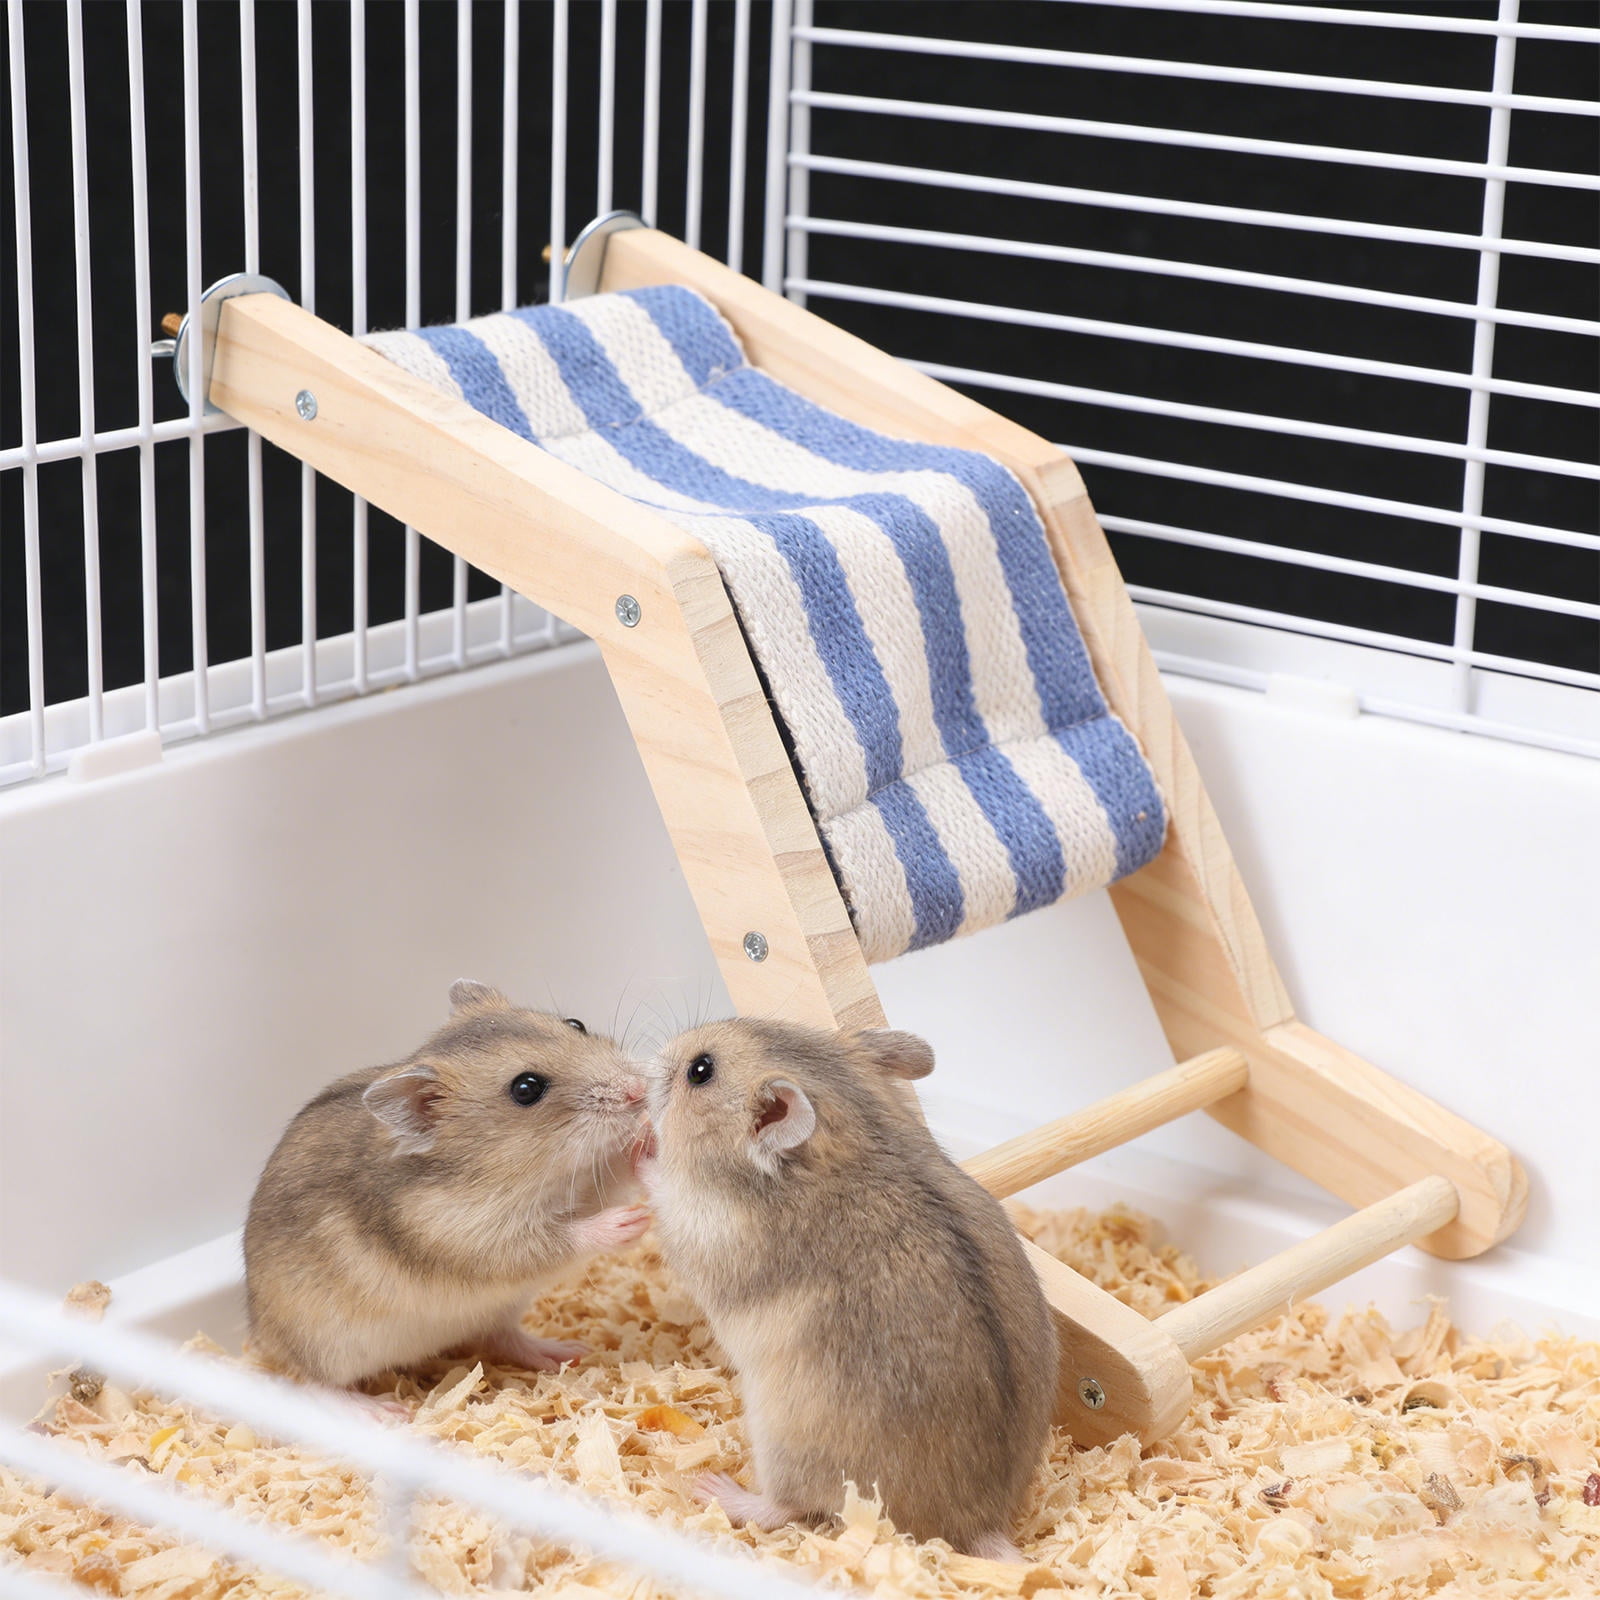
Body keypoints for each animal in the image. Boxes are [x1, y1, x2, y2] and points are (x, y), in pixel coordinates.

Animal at [244, 980, 651, 1396]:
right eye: (526, 1089)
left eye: (575, 1024)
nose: (639, 1090)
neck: (527, 1174)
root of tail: (259, 1335)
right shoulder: (474, 1241)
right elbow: (554, 1242)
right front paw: (628, 1223)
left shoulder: (584, 1186)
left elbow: (614, 1179)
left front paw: (646, 1139)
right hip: (327, 1347)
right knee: (318, 1384)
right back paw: (379, 1407)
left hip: (498, 1311)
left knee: (499, 1336)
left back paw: (564, 1352)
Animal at [637, 1019, 1057, 1559]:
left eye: (700, 1071)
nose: (644, 1067)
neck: (853, 1134)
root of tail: (979, 1525)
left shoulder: (700, 1230)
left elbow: (660, 1189)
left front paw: (642, 1148)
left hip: (783, 1442)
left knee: (787, 1508)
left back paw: (715, 1489)